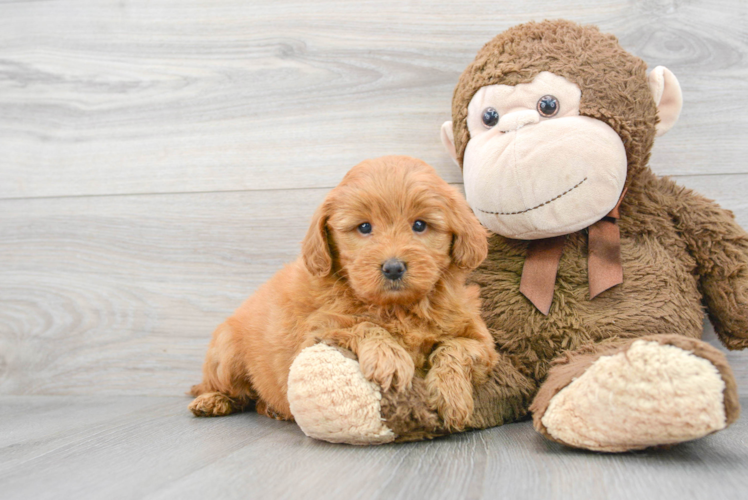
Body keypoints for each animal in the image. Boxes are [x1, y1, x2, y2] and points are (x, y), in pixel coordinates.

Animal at [188, 155, 496, 430]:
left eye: (420, 225)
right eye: (364, 227)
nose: (393, 268)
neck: (398, 307)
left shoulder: (482, 342)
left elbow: (455, 348)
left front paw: (452, 395)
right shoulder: (315, 333)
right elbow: (359, 324)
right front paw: (389, 356)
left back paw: (269, 408)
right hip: (226, 355)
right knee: (223, 389)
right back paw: (212, 400)